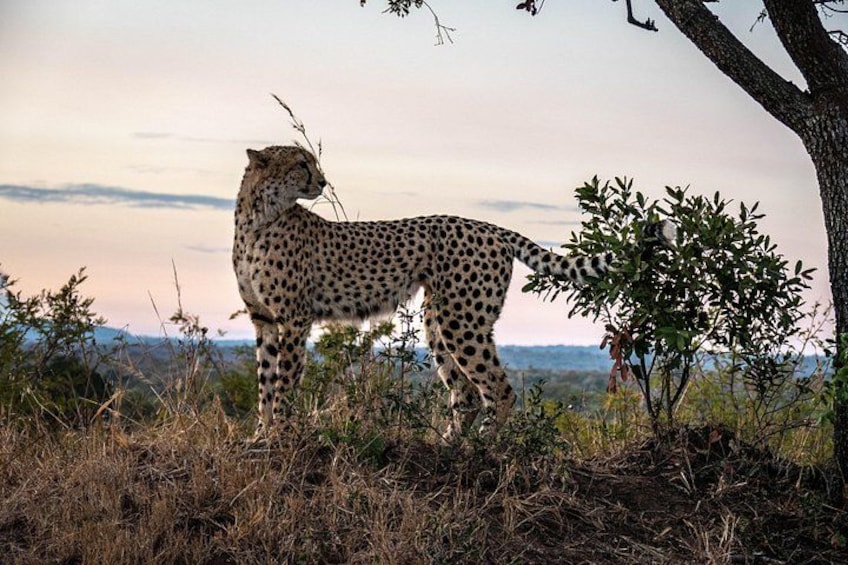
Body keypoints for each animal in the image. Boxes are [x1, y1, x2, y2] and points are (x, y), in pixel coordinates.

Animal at [232, 145, 675, 441]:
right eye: (300, 163)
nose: (322, 181)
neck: (258, 217)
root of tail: (490, 226)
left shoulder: (293, 317)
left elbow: (284, 382)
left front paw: (278, 436)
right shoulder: (264, 320)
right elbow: (265, 381)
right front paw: (259, 436)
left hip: (462, 320)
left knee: (499, 390)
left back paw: (482, 447)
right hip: (439, 321)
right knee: (467, 393)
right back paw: (446, 446)